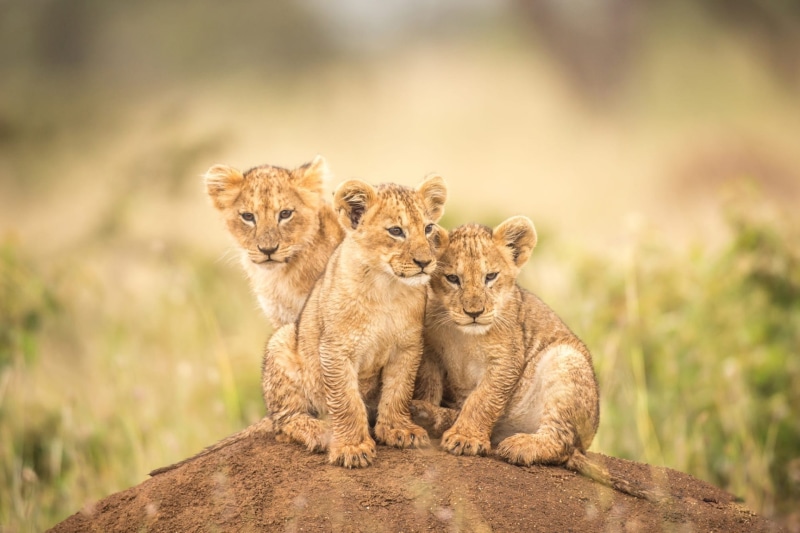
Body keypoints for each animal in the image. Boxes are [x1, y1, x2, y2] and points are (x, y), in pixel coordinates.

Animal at [150, 174, 447, 475]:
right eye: (396, 231)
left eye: (428, 228)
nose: (425, 262)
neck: (387, 287)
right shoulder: (335, 349)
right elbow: (346, 402)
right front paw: (351, 448)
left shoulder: (407, 347)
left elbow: (398, 391)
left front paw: (399, 430)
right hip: (282, 342)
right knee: (283, 422)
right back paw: (321, 432)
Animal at [411, 217, 665, 502]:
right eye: (453, 278)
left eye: (491, 277)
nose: (474, 312)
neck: (463, 335)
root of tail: (583, 448)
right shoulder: (431, 353)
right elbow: (430, 386)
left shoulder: (507, 358)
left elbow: (483, 399)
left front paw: (466, 438)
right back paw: (424, 414)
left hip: (566, 360)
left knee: (561, 444)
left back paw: (521, 445)